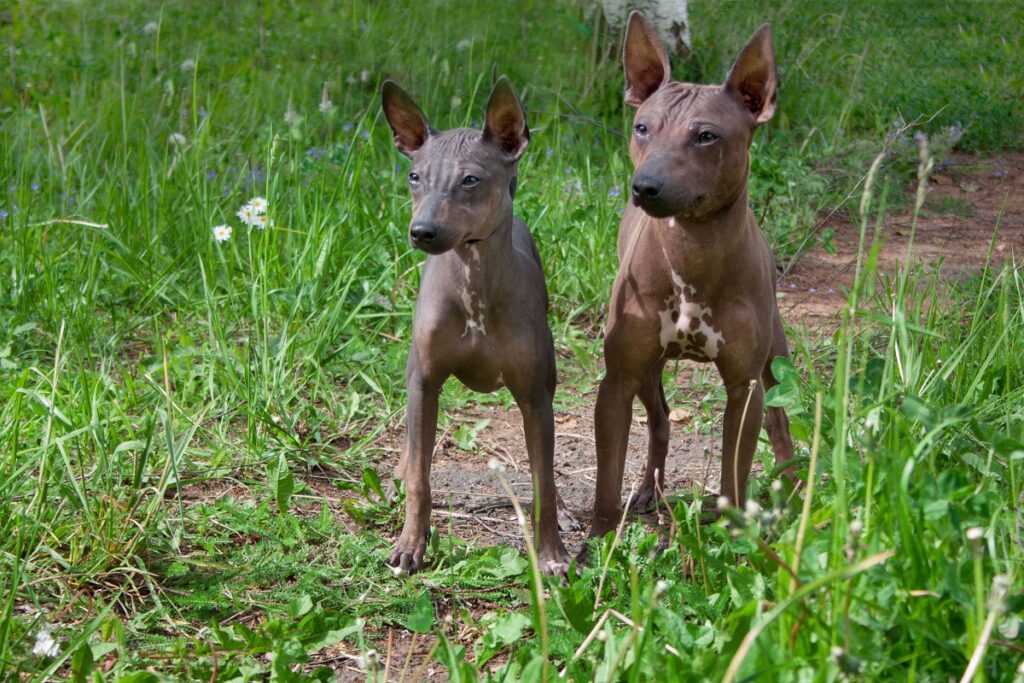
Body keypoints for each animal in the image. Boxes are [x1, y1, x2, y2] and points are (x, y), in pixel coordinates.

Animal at [385, 77, 577, 573]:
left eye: (470, 179)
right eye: (414, 177)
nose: (422, 231)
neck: (474, 284)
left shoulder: (534, 395)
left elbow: (543, 480)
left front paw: (552, 555)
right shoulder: (424, 382)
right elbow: (421, 478)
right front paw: (410, 545)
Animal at [589, 12, 794, 544]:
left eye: (705, 136)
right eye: (642, 128)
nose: (646, 186)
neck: (692, 260)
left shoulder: (745, 387)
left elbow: (734, 473)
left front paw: (736, 534)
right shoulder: (617, 379)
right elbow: (606, 479)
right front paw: (595, 544)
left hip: (776, 359)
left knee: (782, 423)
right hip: (645, 370)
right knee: (660, 419)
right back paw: (648, 490)